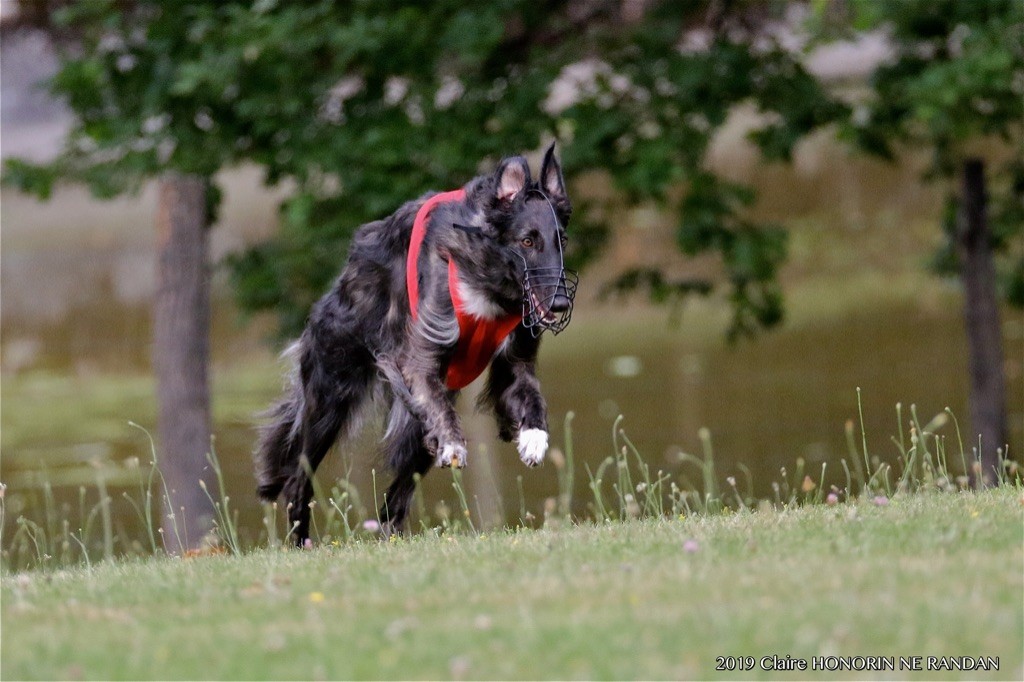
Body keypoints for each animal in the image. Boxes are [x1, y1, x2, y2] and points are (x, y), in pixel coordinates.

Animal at [253, 143, 577, 540]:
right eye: (527, 240)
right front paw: (454, 443)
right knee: (299, 479)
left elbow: (532, 396)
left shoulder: (516, 360)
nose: (560, 303)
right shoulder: (418, 358)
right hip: (329, 397)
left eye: (561, 240)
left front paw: (534, 439)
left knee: (395, 499)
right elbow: (435, 397)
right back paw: (301, 542)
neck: (491, 284)